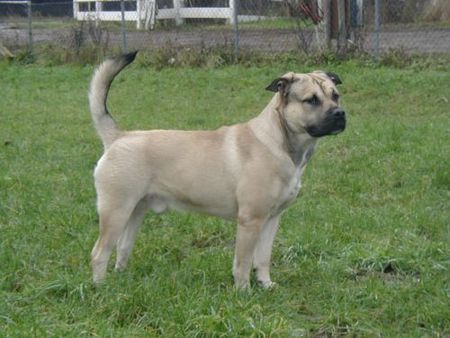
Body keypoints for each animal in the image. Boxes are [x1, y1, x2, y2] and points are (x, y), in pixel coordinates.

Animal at [89, 51, 346, 290]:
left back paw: (122, 279)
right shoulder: (250, 220)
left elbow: (263, 258)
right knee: (99, 253)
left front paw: (265, 284)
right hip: (116, 211)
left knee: (122, 248)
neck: (278, 140)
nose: (340, 114)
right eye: (311, 100)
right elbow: (243, 262)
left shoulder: (272, 219)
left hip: (135, 211)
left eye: (335, 95)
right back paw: (101, 287)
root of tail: (118, 137)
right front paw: (243, 291)